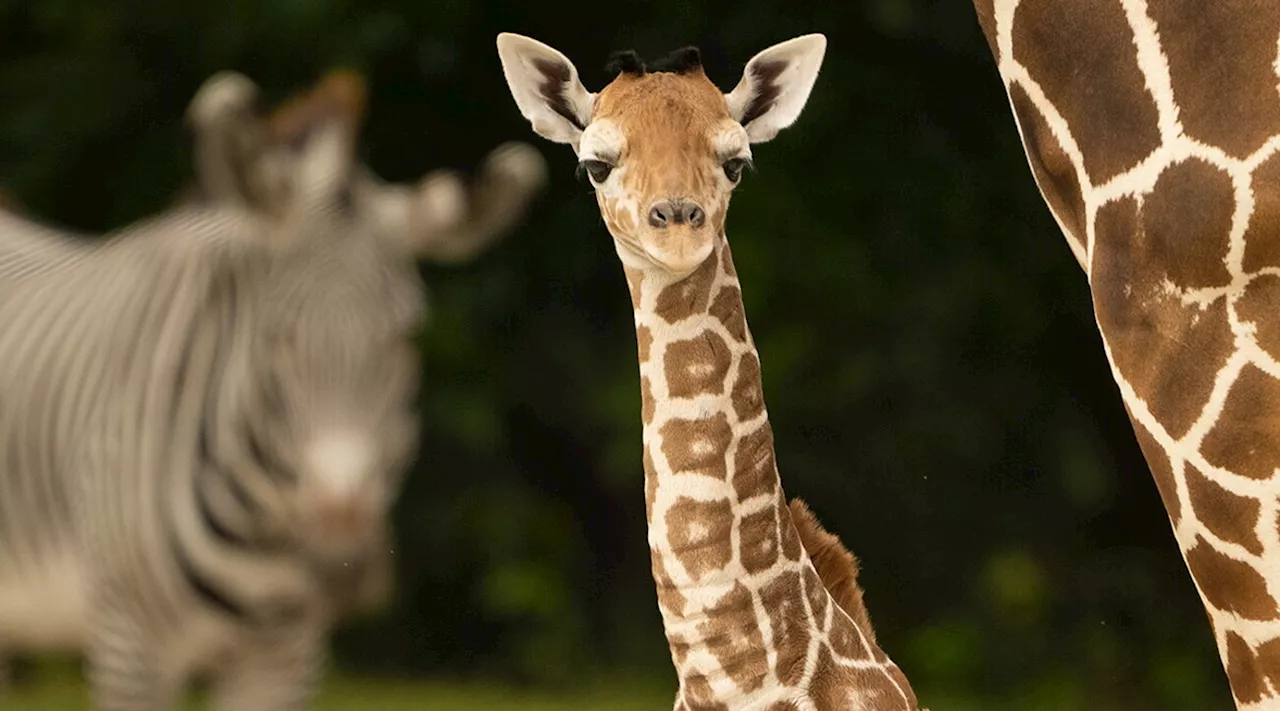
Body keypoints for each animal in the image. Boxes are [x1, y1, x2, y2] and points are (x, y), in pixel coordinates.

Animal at [0, 69, 545, 707]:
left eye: (408, 337)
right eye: (275, 336)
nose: (341, 556)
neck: (261, 534)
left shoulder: (284, 658)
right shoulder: (129, 645)